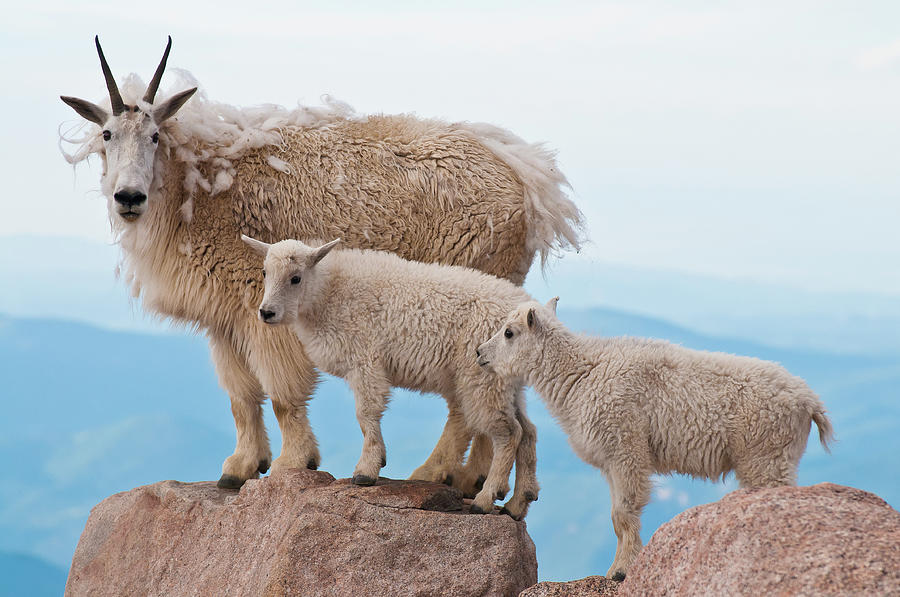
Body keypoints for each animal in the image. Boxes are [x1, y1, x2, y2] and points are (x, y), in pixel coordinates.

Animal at [59, 36, 588, 488]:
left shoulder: (263, 310)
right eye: (106, 134)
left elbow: (283, 395)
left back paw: (437, 472)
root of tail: (531, 184)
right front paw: (241, 467)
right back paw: (472, 479)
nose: (129, 197)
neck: (198, 190)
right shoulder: (224, 319)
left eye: (154, 136)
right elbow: (240, 396)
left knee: (470, 399)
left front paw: (294, 463)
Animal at [243, 235, 540, 520]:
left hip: (482, 379)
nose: (266, 312)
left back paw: (486, 498)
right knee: (527, 431)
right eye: (265, 272)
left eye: (295, 277)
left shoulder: (365, 362)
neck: (328, 293)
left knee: (509, 433)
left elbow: (366, 414)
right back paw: (518, 503)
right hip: (505, 384)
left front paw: (366, 471)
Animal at [478, 300, 836, 580]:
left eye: (509, 332)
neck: (582, 374)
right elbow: (616, 516)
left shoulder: (626, 446)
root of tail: (810, 402)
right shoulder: (611, 461)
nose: (480, 353)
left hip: (765, 455)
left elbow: (624, 513)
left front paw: (620, 571)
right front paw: (620, 568)